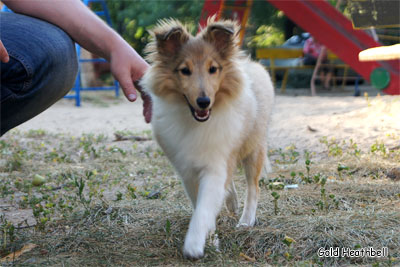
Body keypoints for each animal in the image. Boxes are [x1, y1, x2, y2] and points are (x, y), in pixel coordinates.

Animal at [141, 18, 276, 260]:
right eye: (185, 71)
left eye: (213, 69)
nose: (203, 101)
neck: (197, 122)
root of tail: (252, 65)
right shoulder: (188, 172)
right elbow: (201, 207)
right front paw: (211, 240)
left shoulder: (215, 166)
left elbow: (204, 209)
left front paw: (194, 244)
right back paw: (232, 203)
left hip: (254, 149)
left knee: (254, 188)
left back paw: (245, 221)